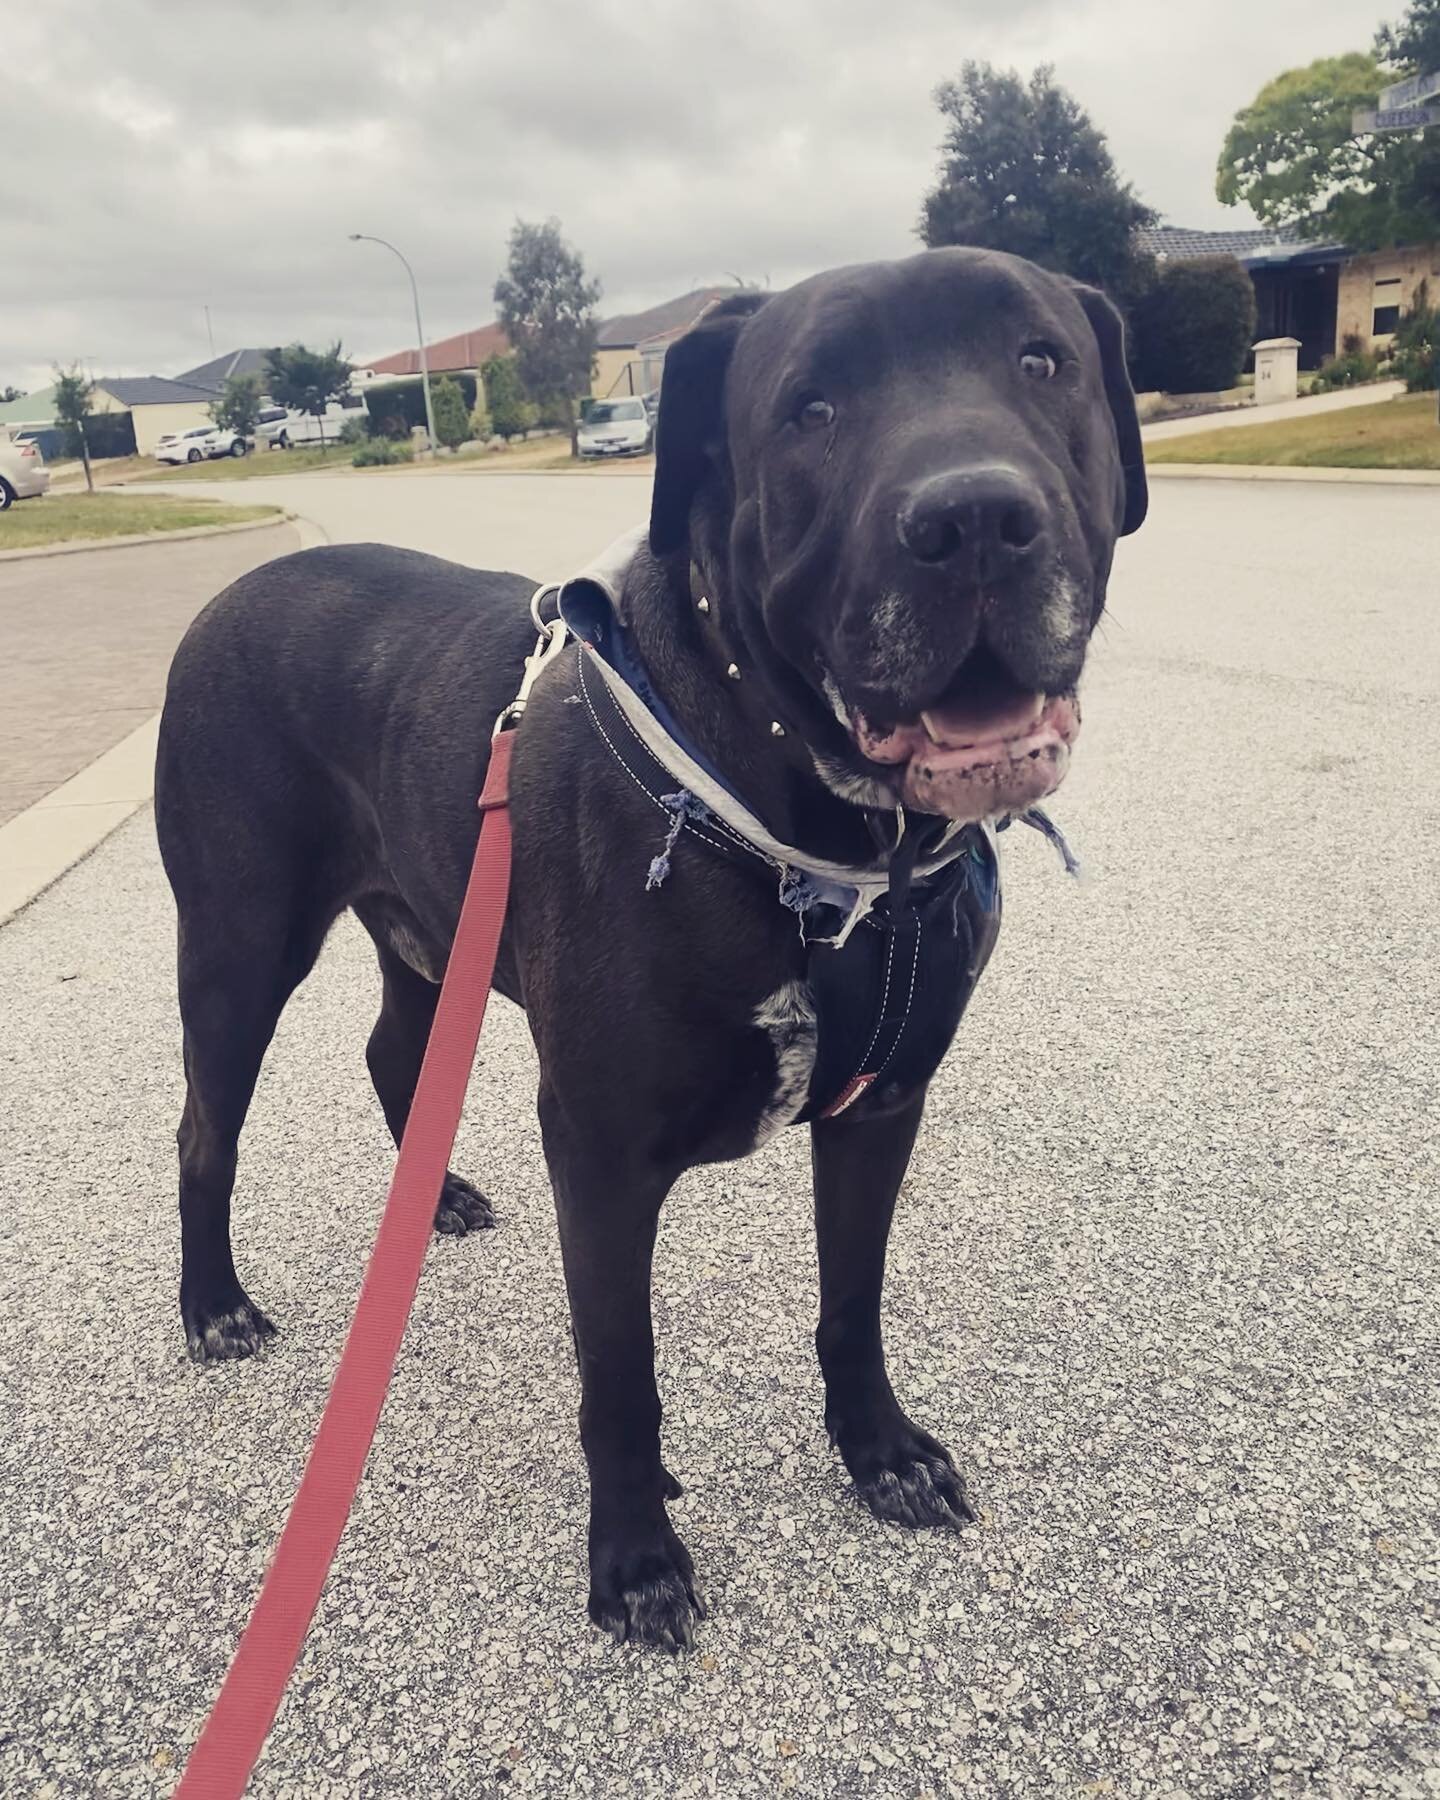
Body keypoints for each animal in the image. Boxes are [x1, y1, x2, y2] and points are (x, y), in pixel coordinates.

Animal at [154, 246, 1144, 1648]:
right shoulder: (605, 1153)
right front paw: (633, 1558)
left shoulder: (881, 1108)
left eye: (1043, 360)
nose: (975, 519)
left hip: (432, 926)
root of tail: (227, 593)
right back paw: (215, 1305)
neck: (817, 833)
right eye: (810, 408)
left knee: (394, 1049)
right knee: (206, 1128)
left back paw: (435, 1196)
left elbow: (853, 1302)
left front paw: (880, 1450)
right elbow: (620, 1373)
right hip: (241, 946)